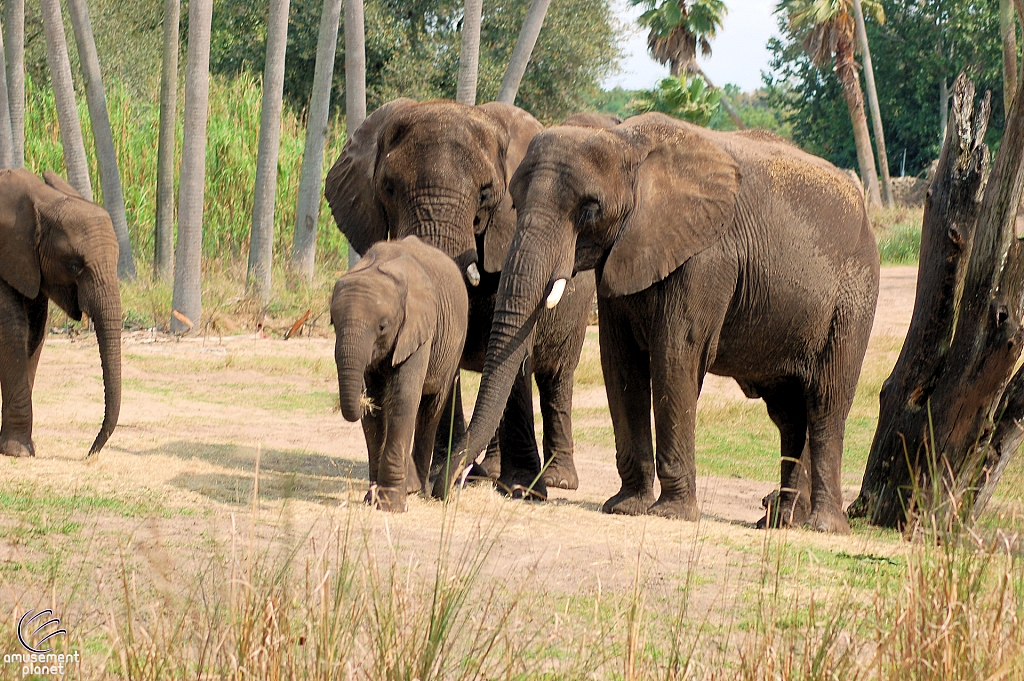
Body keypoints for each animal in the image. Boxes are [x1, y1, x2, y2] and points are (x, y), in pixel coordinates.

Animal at [0, 167, 121, 458]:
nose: (89, 453)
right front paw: (18, 452)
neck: (42, 199)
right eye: (75, 265)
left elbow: (34, 333)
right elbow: (11, 330)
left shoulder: (28, 264)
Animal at [331, 236, 468, 507]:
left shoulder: (419, 328)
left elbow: (403, 397)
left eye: (382, 327)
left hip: (455, 343)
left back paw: (421, 491)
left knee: (430, 410)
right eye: (333, 324)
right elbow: (376, 410)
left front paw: (390, 504)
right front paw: (371, 498)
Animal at [456, 115, 880, 532]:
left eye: (591, 209)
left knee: (826, 401)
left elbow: (675, 356)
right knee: (789, 414)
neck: (625, 141)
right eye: (514, 202)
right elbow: (620, 363)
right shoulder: (621, 254)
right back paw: (779, 522)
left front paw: (670, 514)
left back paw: (823, 526)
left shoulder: (707, 256)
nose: (461, 476)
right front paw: (625, 507)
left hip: (855, 292)